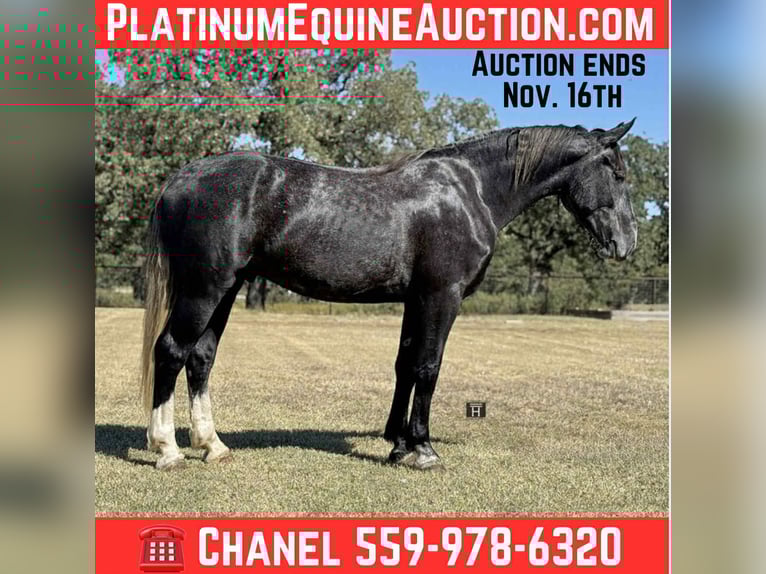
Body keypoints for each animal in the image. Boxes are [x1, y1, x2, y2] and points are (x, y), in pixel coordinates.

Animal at [140, 119, 638, 471]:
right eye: (615, 173)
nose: (627, 242)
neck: (471, 189)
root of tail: (181, 178)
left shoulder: (416, 299)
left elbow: (405, 364)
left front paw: (397, 444)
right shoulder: (441, 296)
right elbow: (429, 366)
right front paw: (423, 448)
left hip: (227, 290)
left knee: (201, 357)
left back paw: (213, 445)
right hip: (205, 289)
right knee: (171, 351)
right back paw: (167, 450)